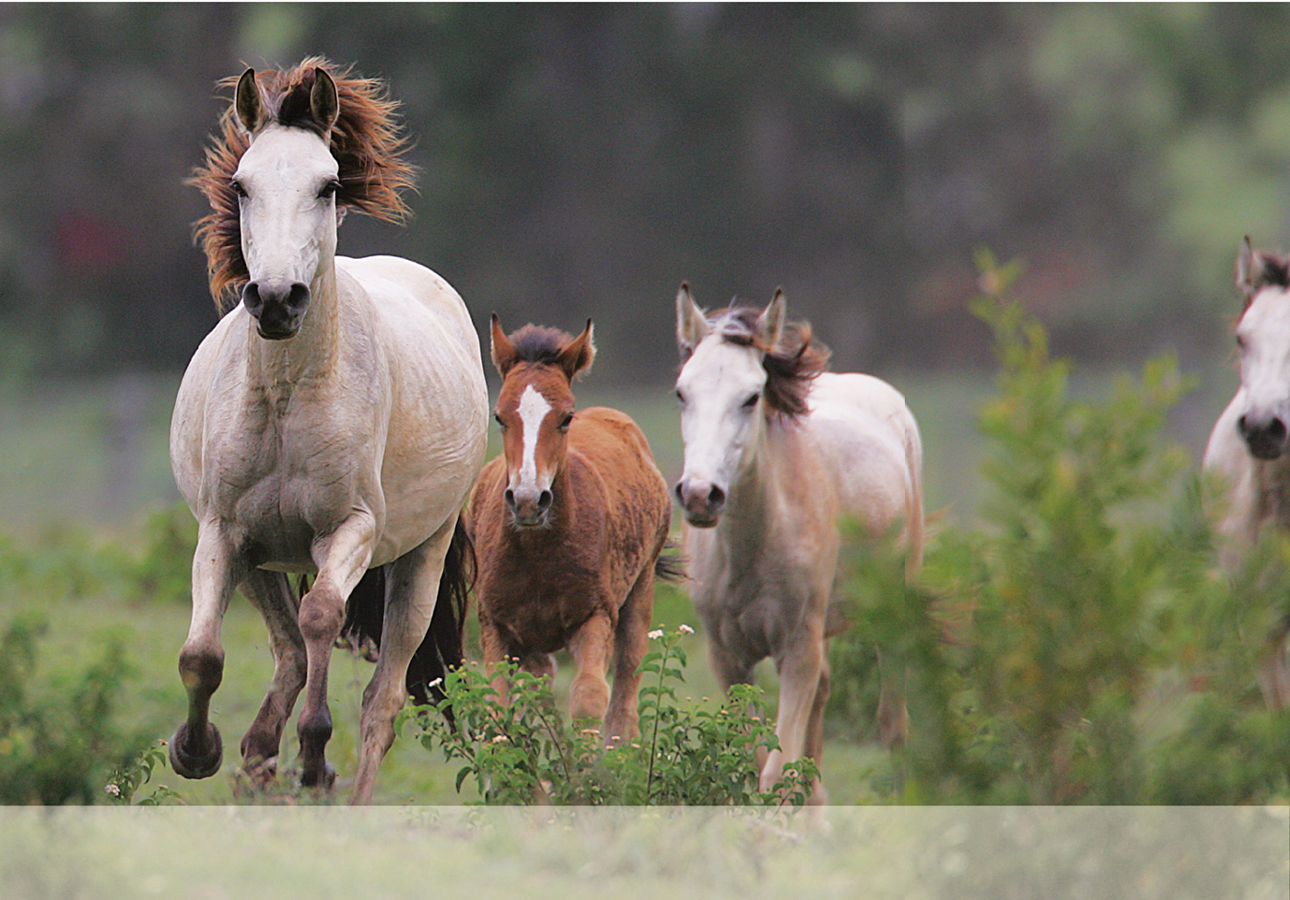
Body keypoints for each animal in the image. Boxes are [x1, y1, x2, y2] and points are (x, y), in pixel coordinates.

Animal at [168, 59, 485, 804]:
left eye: (328, 184)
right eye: (241, 185)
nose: (276, 299)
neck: (288, 397)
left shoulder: (351, 529)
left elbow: (323, 619)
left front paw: (314, 757)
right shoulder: (224, 531)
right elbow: (203, 654)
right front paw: (195, 751)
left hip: (422, 557)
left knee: (381, 700)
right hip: (262, 561)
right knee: (286, 655)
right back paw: (256, 760)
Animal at [472, 315, 675, 742]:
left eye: (566, 417)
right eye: (499, 416)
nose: (528, 500)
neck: (536, 554)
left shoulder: (594, 616)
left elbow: (589, 698)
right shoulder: (496, 627)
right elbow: (501, 712)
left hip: (640, 590)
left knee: (626, 690)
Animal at [670, 282, 923, 799]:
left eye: (751, 397)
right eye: (682, 392)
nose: (701, 494)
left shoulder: (798, 649)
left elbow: (777, 769)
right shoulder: (727, 658)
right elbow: (756, 760)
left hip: (892, 608)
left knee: (893, 722)